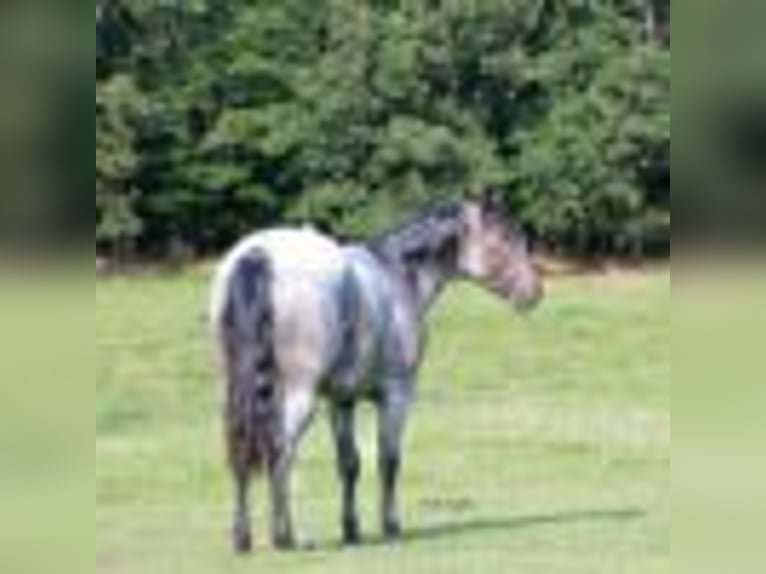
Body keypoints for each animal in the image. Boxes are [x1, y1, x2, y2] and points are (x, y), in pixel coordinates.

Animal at [209, 190, 543, 552]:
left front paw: (351, 529)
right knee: (279, 452)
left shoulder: (341, 400)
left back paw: (243, 537)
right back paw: (285, 536)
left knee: (242, 448)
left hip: (241, 391)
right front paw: (390, 525)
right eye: (505, 238)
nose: (534, 292)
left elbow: (349, 464)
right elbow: (388, 459)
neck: (397, 275)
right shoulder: (396, 395)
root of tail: (258, 255)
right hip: (299, 396)